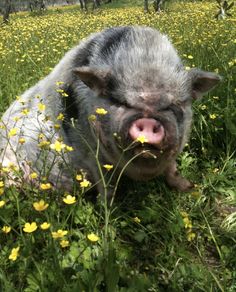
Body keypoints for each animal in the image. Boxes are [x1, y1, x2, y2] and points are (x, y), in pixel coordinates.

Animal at [0, 26, 221, 197]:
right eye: (119, 101)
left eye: (173, 105)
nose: (148, 121)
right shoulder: (90, 153)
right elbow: (107, 186)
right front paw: (108, 210)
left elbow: (172, 170)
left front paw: (191, 188)